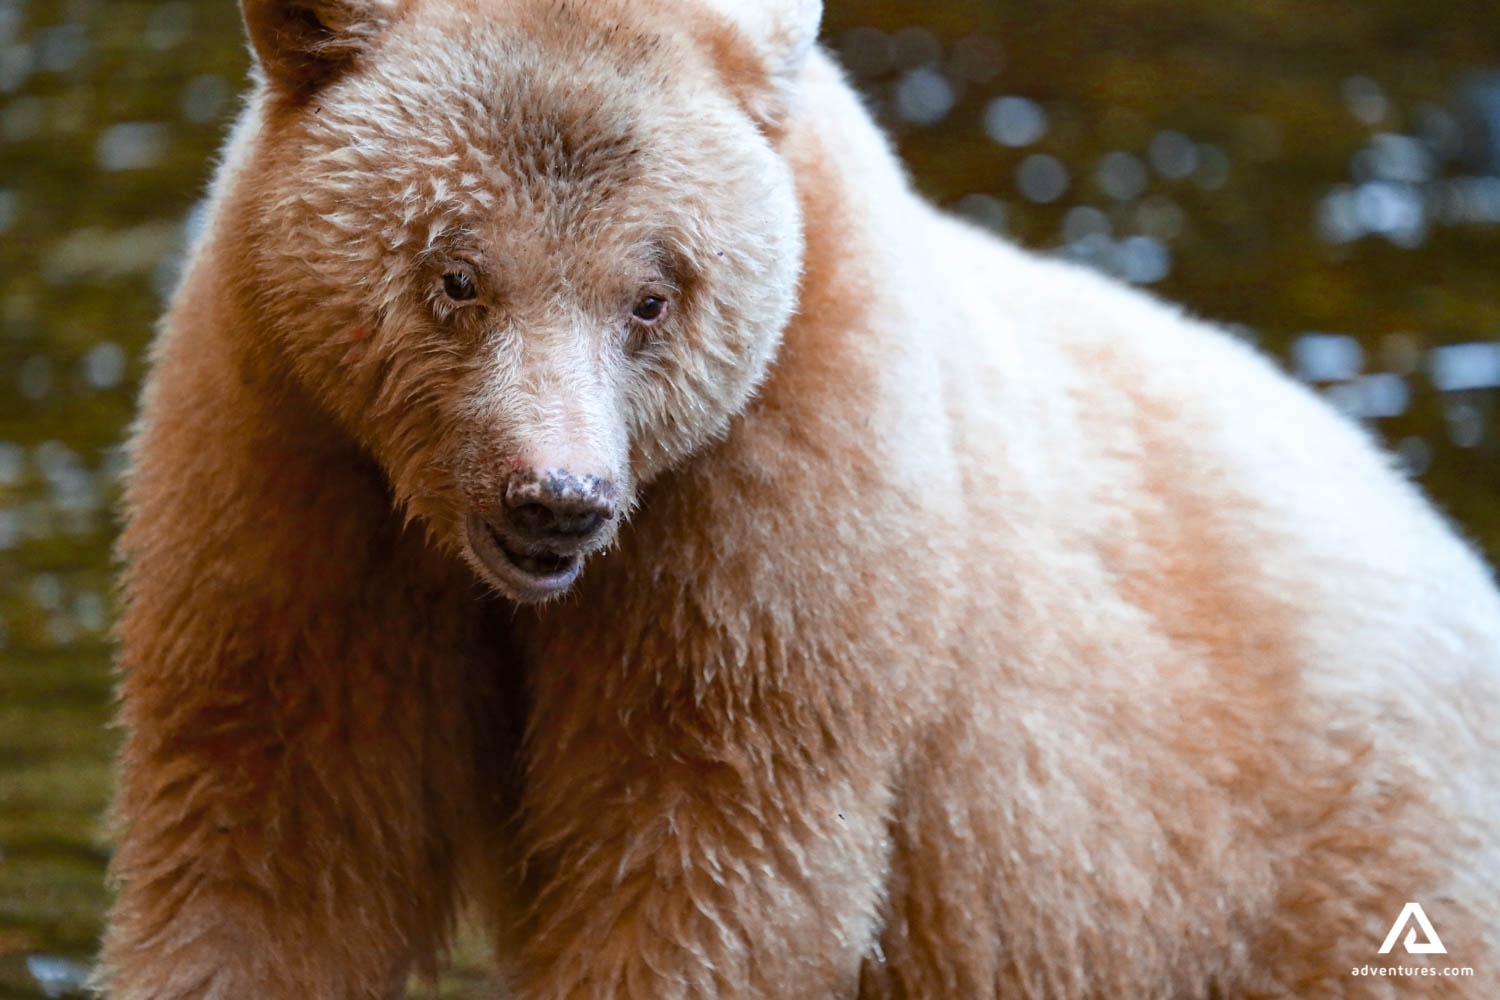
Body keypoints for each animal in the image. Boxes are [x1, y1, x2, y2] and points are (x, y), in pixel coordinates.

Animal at [100, 0, 1500, 997]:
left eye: (652, 294)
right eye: (455, 273)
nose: (557, 498)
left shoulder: (777, 499)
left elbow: (708, 856)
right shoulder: (293, 453)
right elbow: (281, 830)